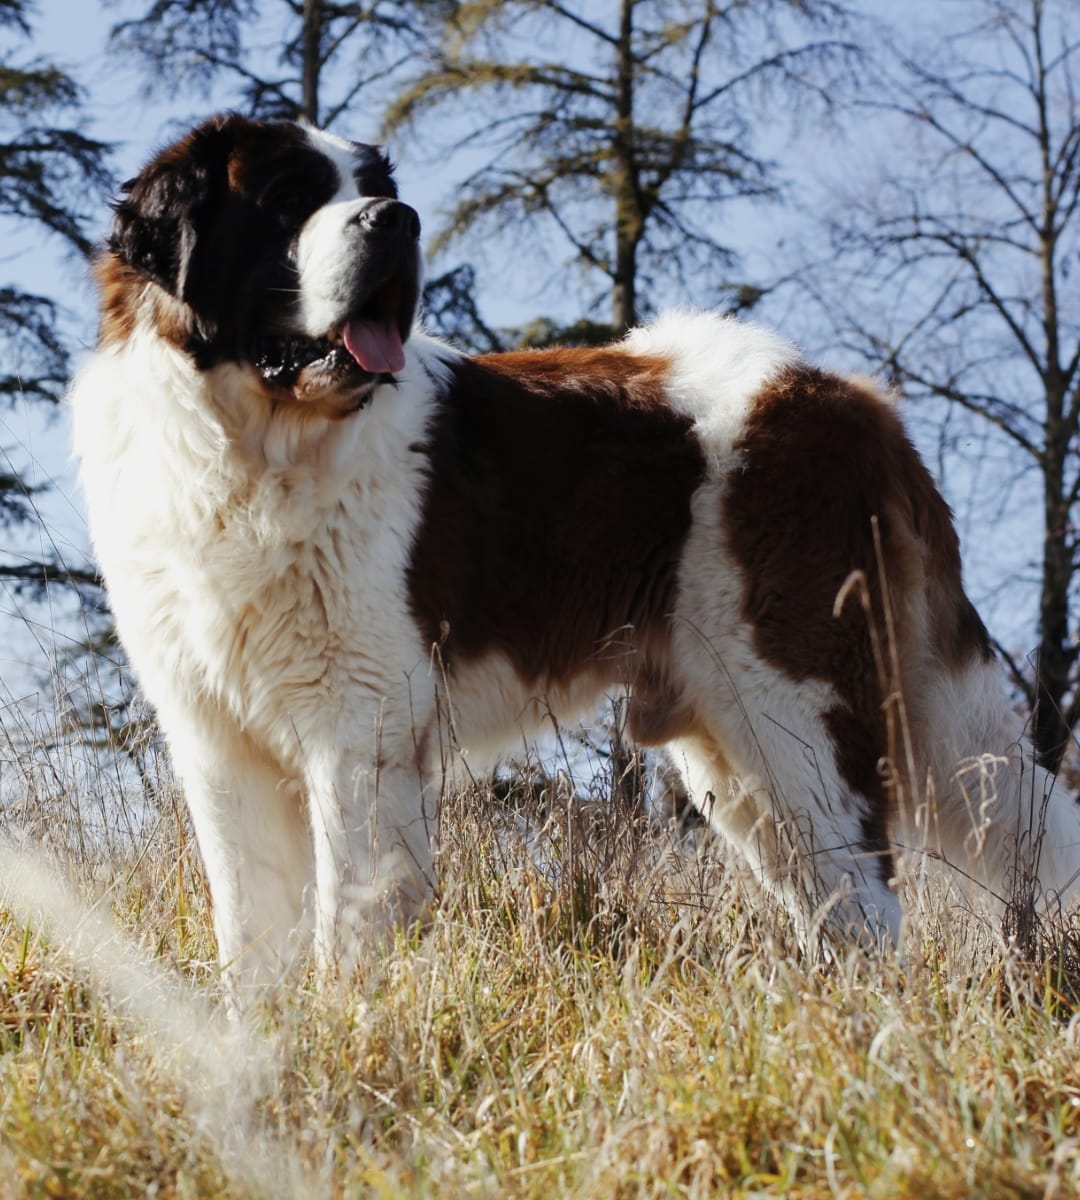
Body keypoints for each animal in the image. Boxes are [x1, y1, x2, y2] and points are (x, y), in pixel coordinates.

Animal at [71, 117, 1075, 1008]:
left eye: (373, 189)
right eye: (287, 199)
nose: (398, 219)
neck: (253, 448)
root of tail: (853, 398)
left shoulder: (362, 724)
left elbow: (349, 912)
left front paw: (344, 1027)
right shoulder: (215, 738)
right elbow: (250, 923)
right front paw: (262, 1038)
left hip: (796, 708)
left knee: (867, 896)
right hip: (739, 755)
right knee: (832, 901)